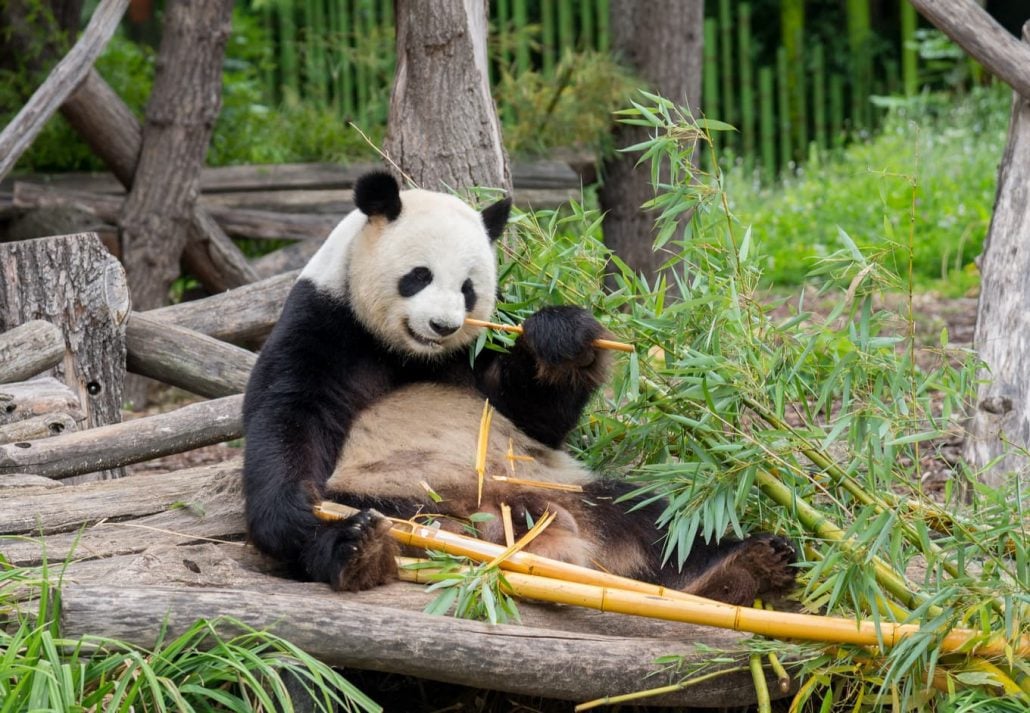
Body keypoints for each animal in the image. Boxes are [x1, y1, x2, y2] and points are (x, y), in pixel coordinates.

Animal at [241, 170, 795, 605]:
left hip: (571, 486)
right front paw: (294, 510)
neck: (411, 354)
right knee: (365, 525)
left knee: (662, 517)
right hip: (400, 498)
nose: (443, 325)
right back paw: (358, 548)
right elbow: (288, 414)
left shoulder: (478, 354)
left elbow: (535, 413)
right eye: (418, 276)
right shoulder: (325, 322)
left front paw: (563, 339)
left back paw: (746, 567)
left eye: (469, 289)